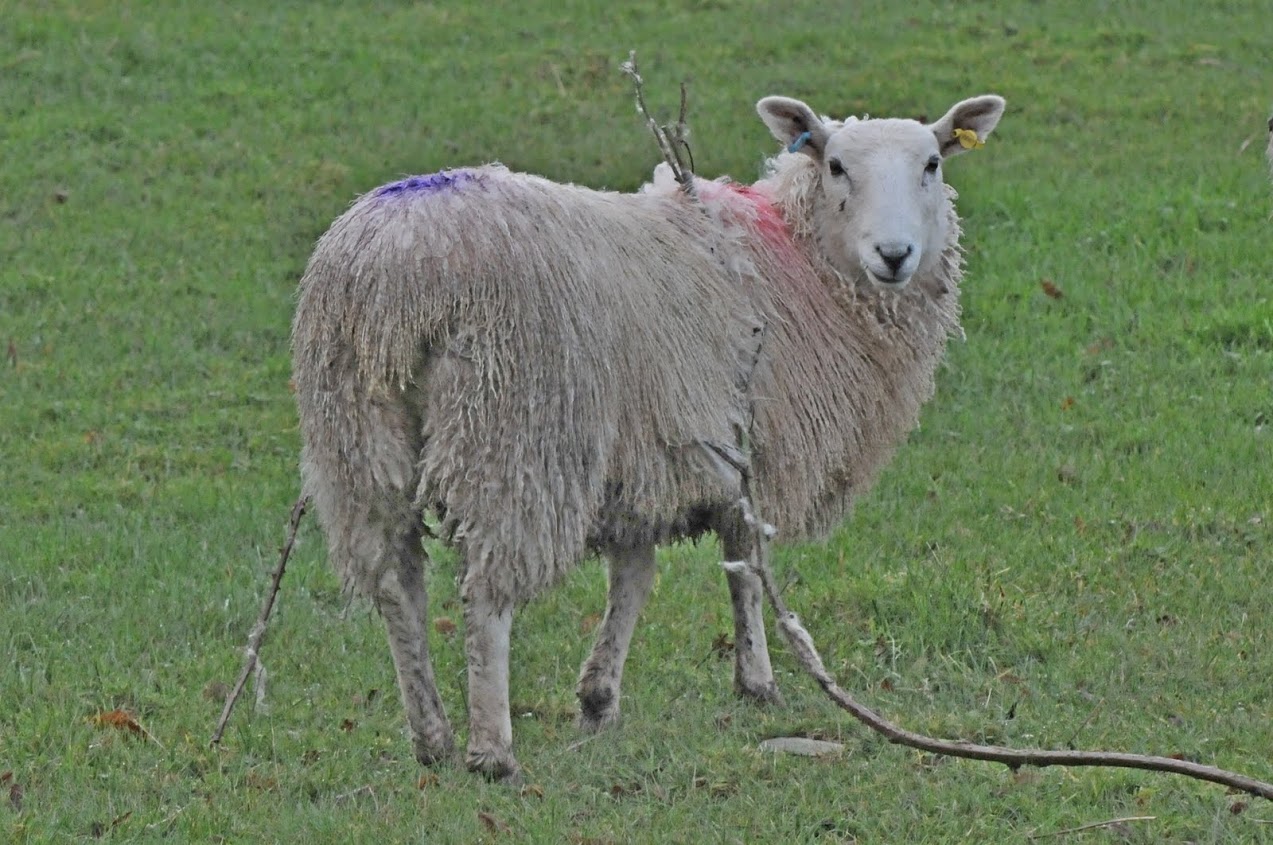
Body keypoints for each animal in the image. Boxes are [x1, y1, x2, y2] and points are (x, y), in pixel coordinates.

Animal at [291, 89, 1003, 783]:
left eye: (932, 164)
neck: (802, 262)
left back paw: (431, 738)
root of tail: (398, 274)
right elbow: (744, 563)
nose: (895, 255)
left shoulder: (641, 459)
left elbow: (633, 576)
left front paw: (599, 697)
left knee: (394, 585)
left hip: (355, 437)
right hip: (514, 433)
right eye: (836, 166)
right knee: (485, 593)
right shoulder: (748, 448)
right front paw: (758, 681)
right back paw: (492, 751)